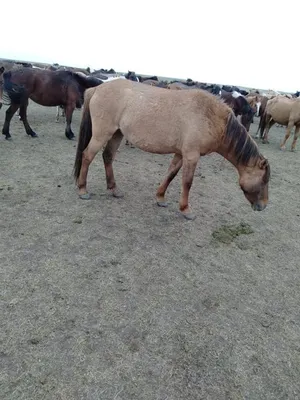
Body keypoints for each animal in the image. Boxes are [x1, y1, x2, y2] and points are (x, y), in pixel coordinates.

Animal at [72, 79, 270, 220]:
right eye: (263, 180)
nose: (263, 206)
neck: (210, 116)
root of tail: (97, 89)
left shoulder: (181, 154)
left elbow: (171, 174)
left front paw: (160, 198)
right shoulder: (191, 155)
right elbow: (187, 182)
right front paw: (186, 210)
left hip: (117, 134)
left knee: (107, 156)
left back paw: (114, 189)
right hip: (102, 134)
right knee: (87, 155)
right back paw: (82, 190)